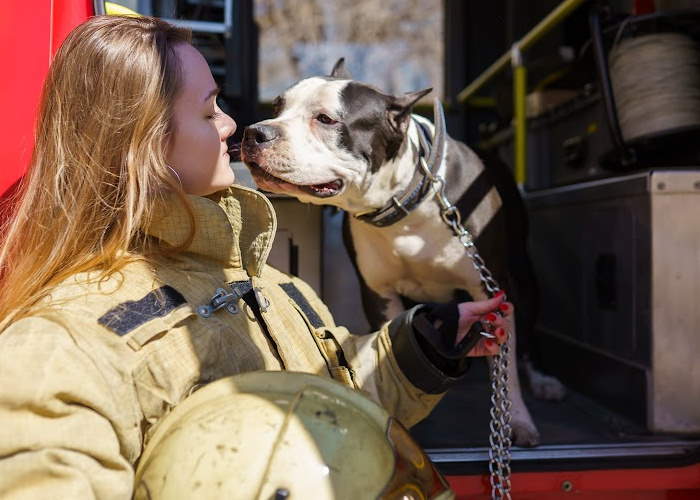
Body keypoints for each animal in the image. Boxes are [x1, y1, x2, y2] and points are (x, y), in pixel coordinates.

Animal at [241, 58, 564, 446]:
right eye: (277, 108)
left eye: (326, 119)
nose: (255, 132)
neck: (405, 201)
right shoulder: (379, 294)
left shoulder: (488, 288)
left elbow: (506, 361)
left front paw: (516, 419)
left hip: (521, 274)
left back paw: (542, 379)